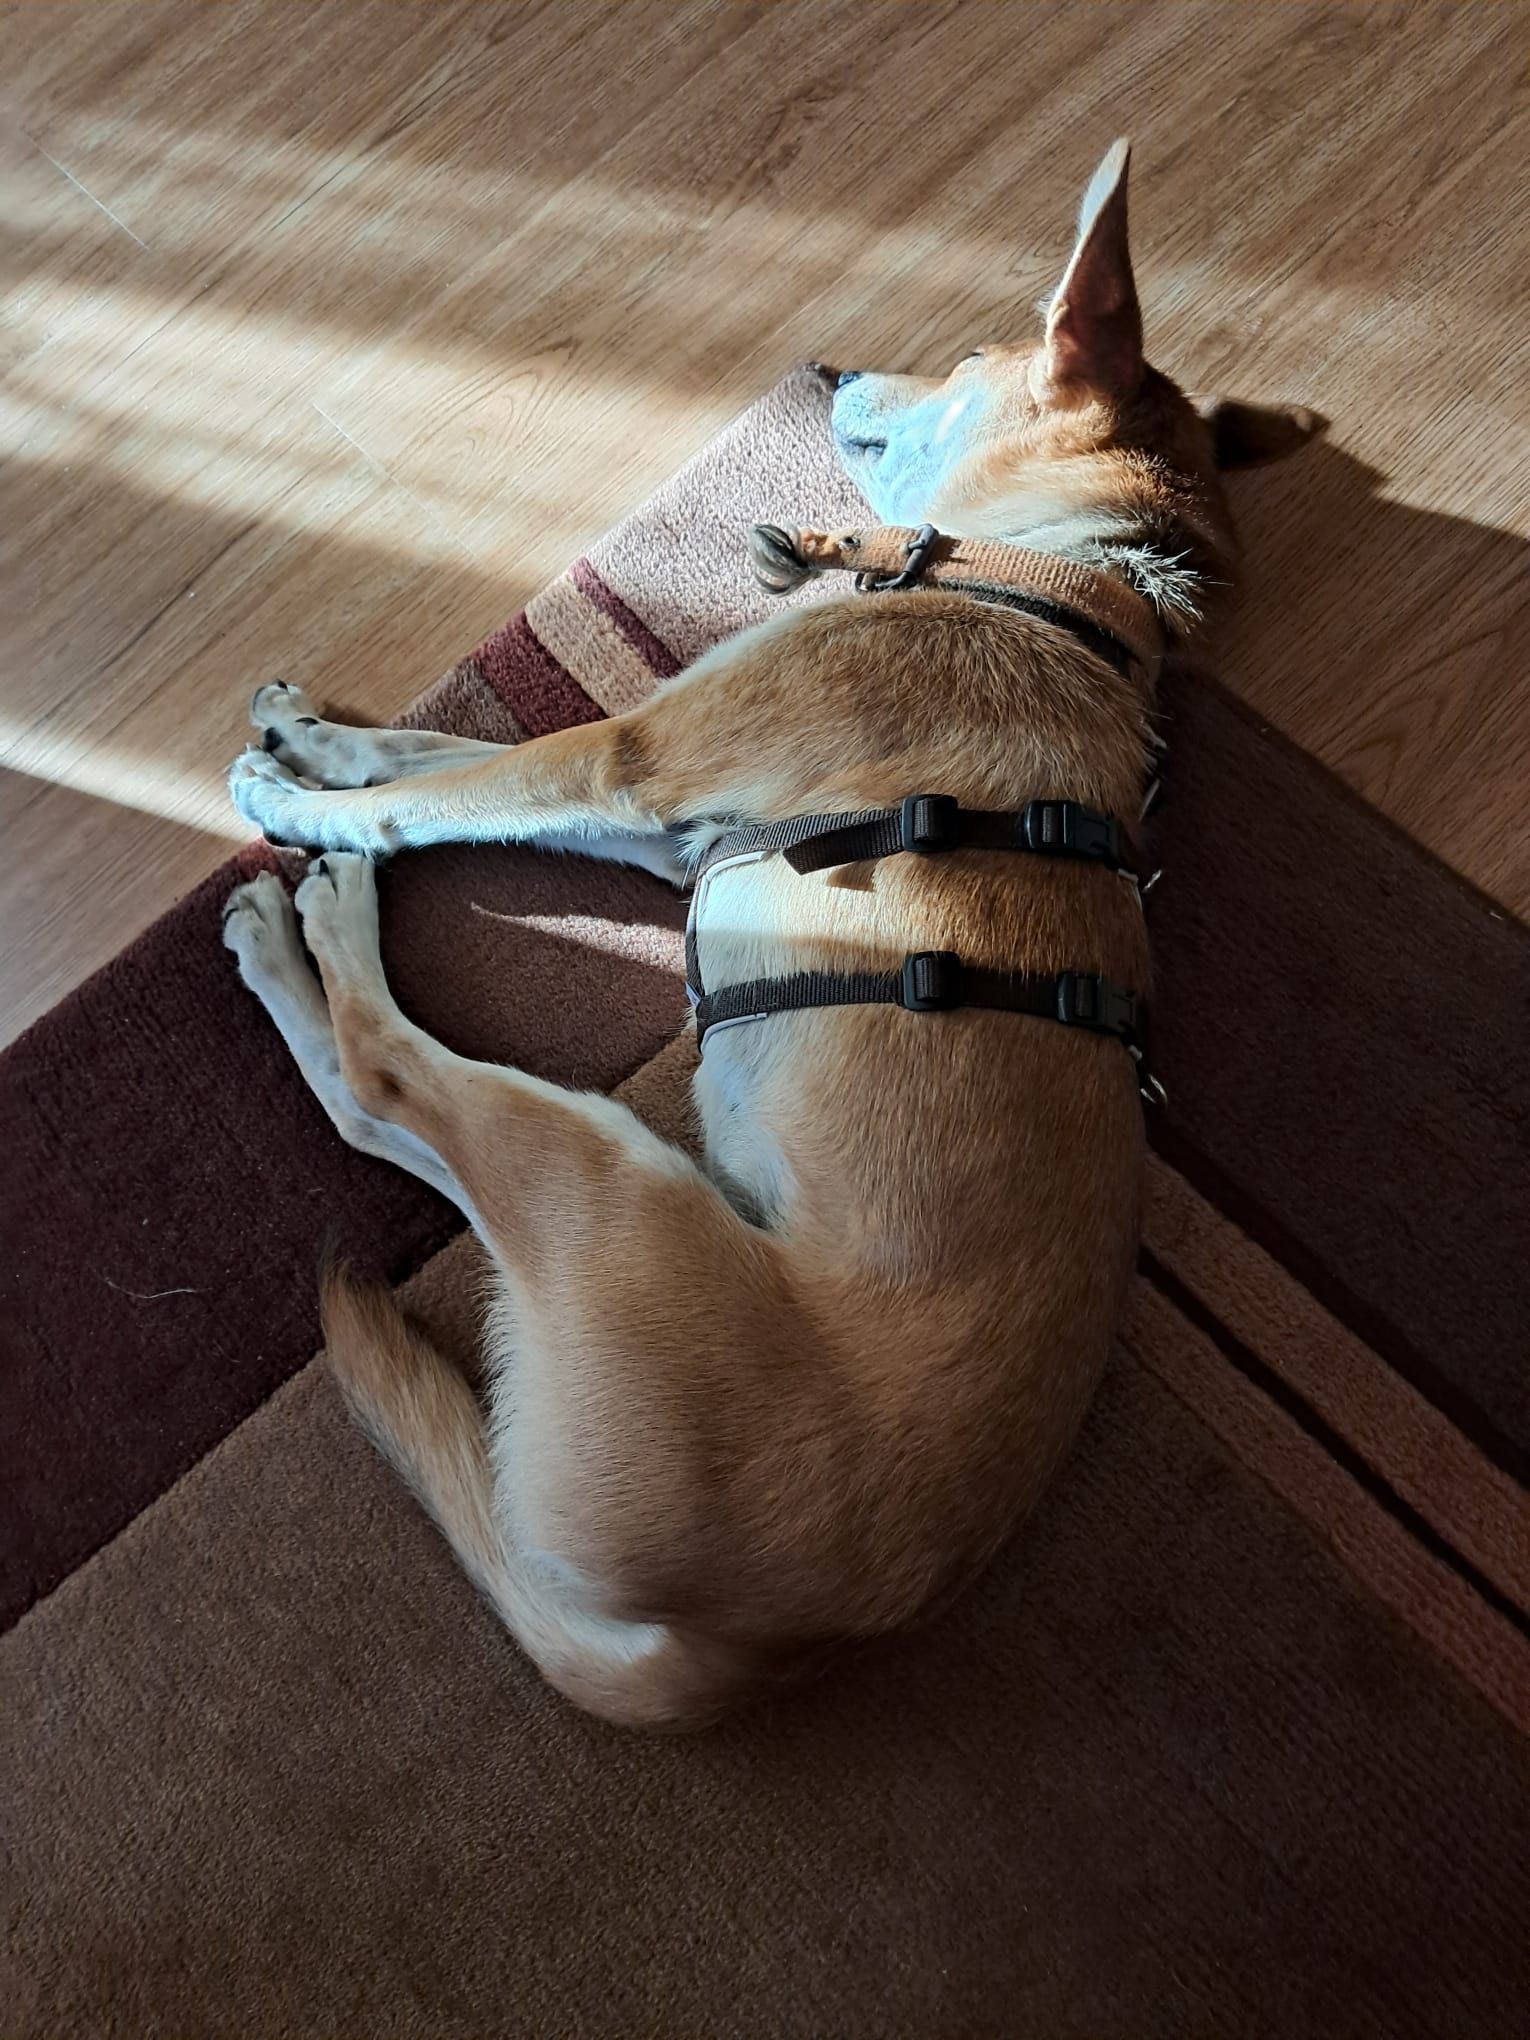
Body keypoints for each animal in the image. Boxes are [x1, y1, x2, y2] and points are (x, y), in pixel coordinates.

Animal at [222, 141, 1313, 1729]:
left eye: (966, 358)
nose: (835, 363)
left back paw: (323, 915)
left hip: (611, 1189)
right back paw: (276, 936)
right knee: (384, 1118)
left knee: (384, 1077)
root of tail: (755, 1649)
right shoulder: (667, 815)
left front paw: (297, 800)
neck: (1052, 581)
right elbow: (433, 752)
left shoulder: (631, 762)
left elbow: (444, 792)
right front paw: (316, 740)